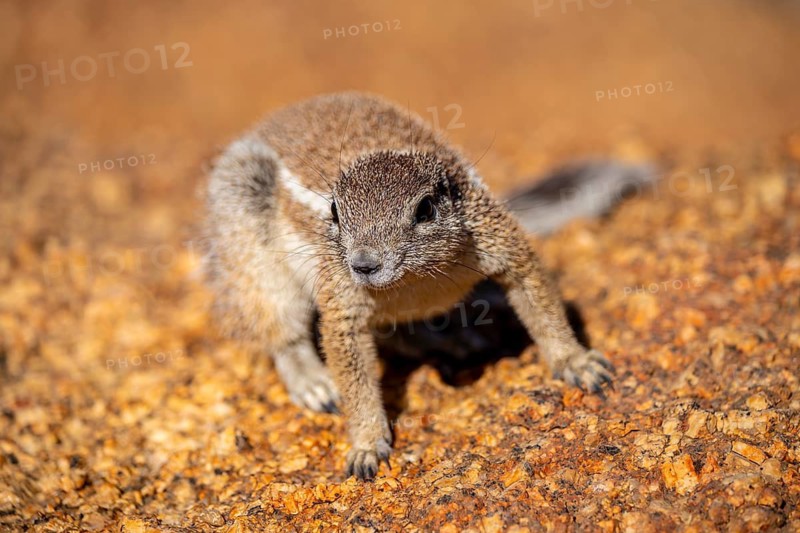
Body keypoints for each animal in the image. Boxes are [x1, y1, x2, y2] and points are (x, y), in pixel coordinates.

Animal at [204, 92, 654, 481]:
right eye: (334, 210)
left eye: (425, 210)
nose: (363, 264)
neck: (415, 280)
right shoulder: (341, 294)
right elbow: (353, 374)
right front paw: (366, 444)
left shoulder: (498, 239)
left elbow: (539, 299)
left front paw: (576, 362)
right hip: (247, 243)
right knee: (281, 330)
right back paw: (314, 384)